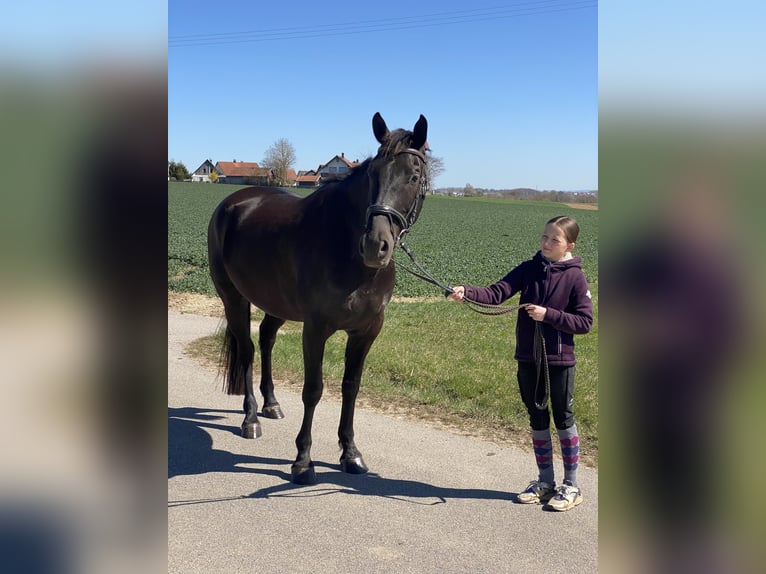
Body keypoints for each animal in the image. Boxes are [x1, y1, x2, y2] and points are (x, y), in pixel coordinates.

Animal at [207, 112, 429, 484]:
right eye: (373, 175)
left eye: (413, 176)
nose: (375, 246)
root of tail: (231, 203)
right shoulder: (315, 329)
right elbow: (313, 390)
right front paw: (303, 461)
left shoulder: (367, 330)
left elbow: (351, 386)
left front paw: (351, 453)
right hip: (234, 298)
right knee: (249, 350)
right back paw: (251, 419)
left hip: (276, 303)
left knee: (266, 338)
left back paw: (271, 404)